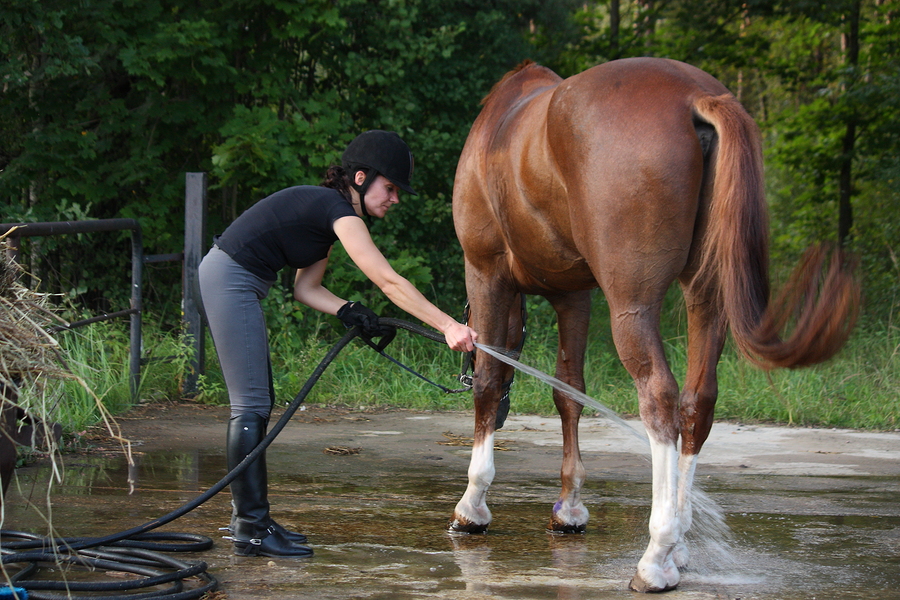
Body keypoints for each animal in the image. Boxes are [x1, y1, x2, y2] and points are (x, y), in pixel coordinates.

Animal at [449, 57, 859, 592]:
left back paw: (656, 556)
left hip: (632, 305)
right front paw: (569, 508)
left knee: (660, 399)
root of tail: (695, 98)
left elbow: (488, 382)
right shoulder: (574, 294)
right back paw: (680, 542)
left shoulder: (486, 272)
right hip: (706, 295)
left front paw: (473, 505)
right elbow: (568, 391)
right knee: (697, 403)